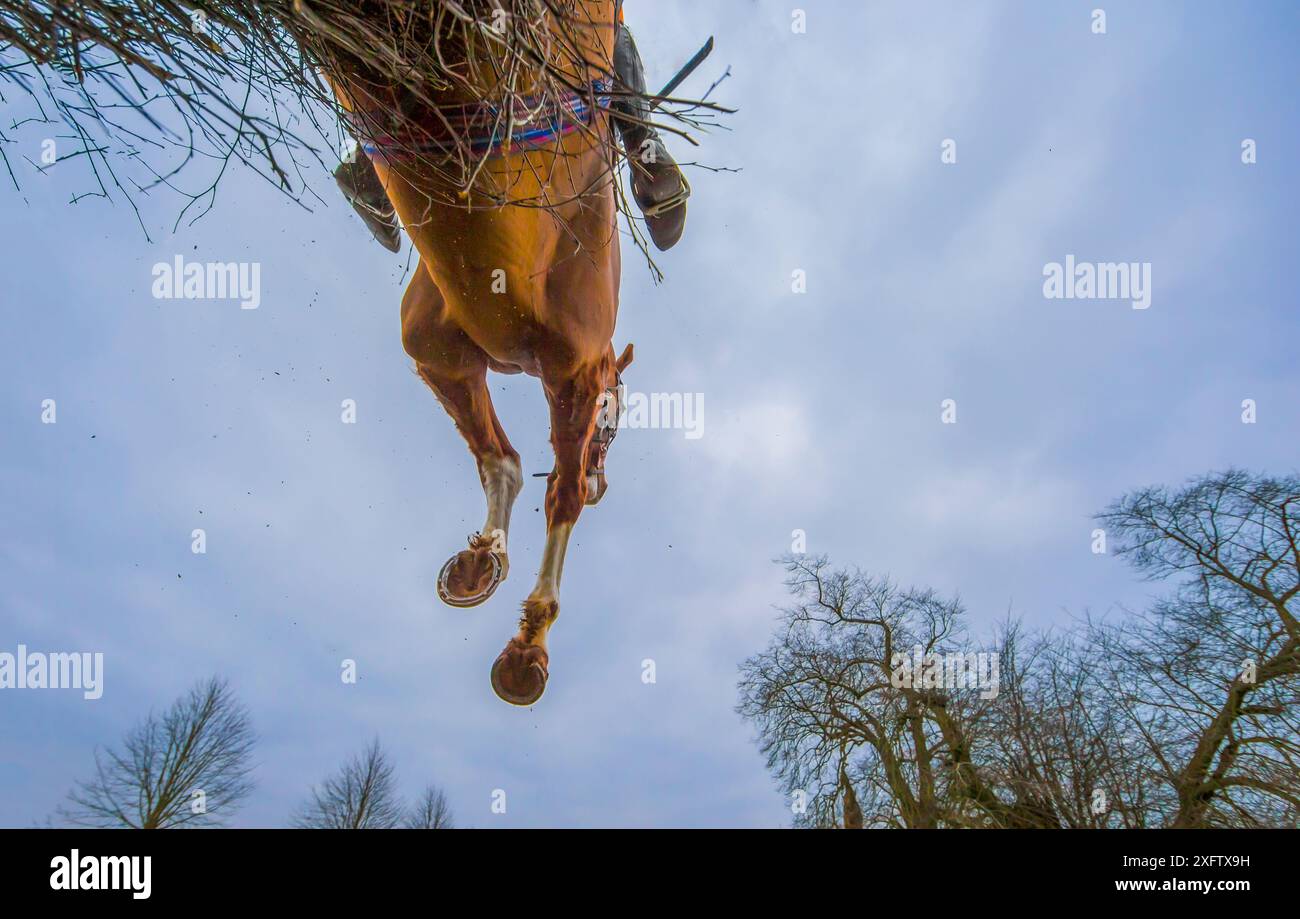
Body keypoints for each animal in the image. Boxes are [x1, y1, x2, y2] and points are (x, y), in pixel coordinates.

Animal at [325, 0, 629, 707]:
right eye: (615, 424)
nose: (605, 484)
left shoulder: (443, 355)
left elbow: (504, 460)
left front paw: (486, 560)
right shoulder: (569, 374)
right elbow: (548, 487)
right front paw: (530, 638)